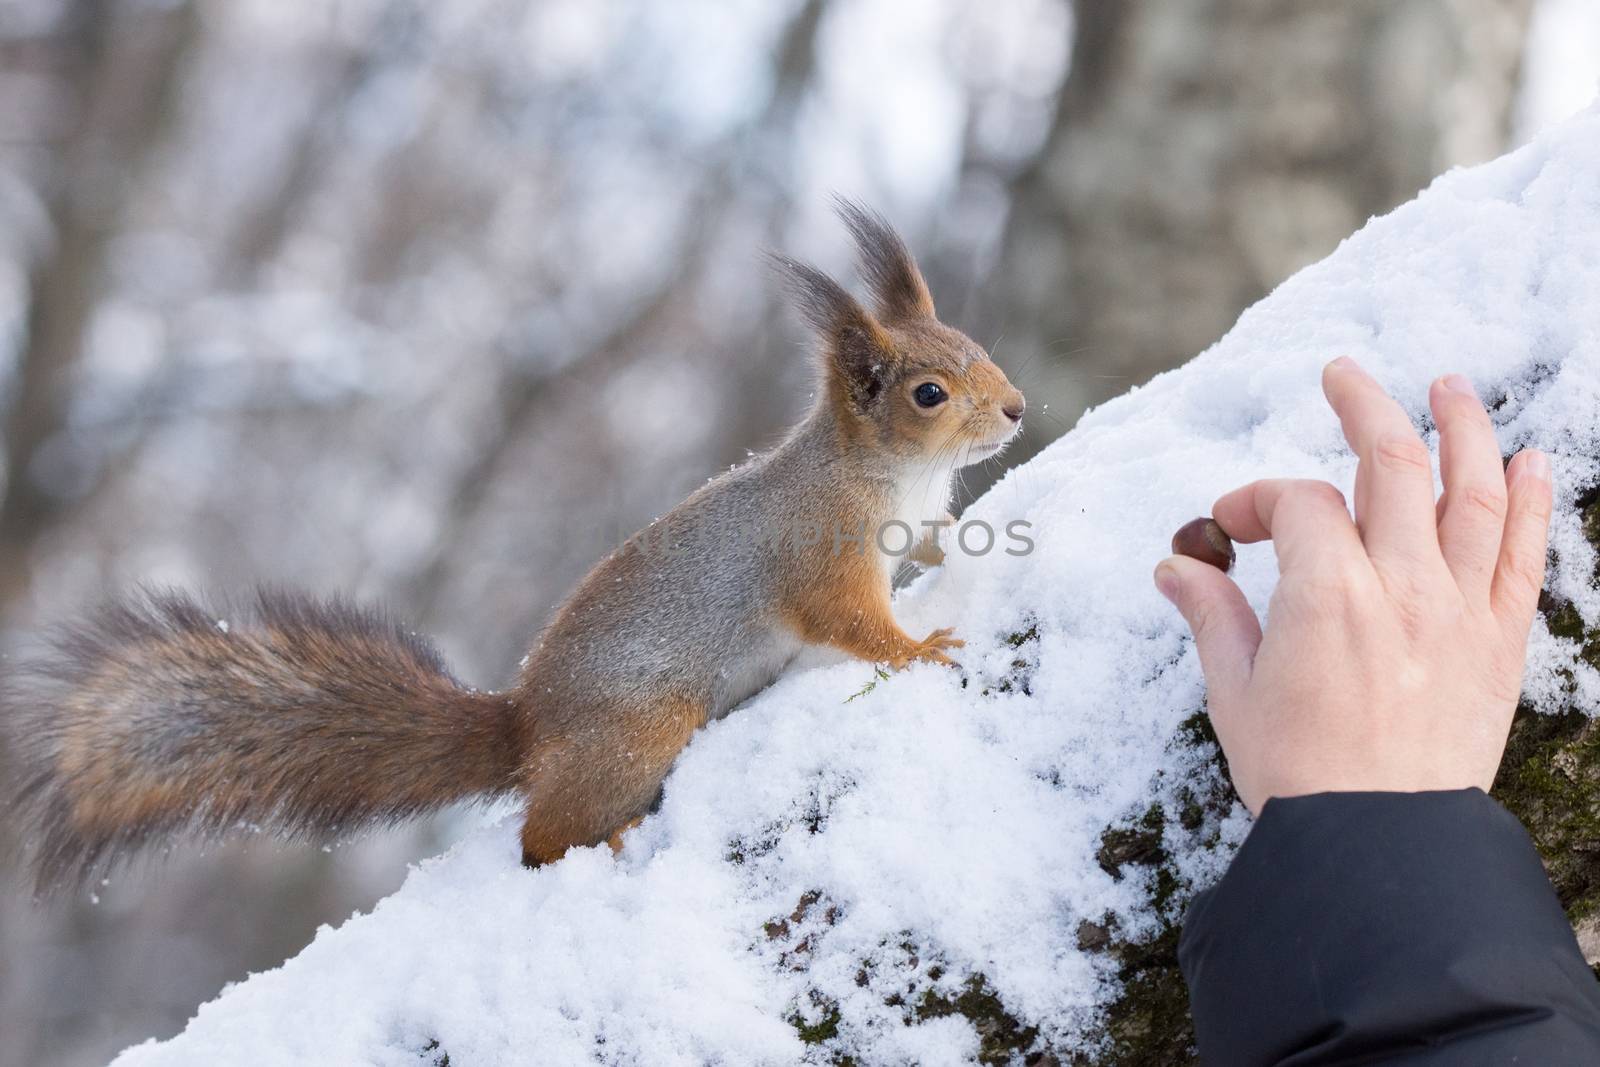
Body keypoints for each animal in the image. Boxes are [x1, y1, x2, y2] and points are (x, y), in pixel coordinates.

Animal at [3, 202, 1024, 895]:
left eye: (976, 343)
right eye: (929, 392)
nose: (1017, 409)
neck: (885, 474)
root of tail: (525, 728)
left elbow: (927, 557)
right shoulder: (820, 557)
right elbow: (851, 624)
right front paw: (920, 647)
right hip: (639, 730)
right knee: (539, 840)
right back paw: (599, 842)